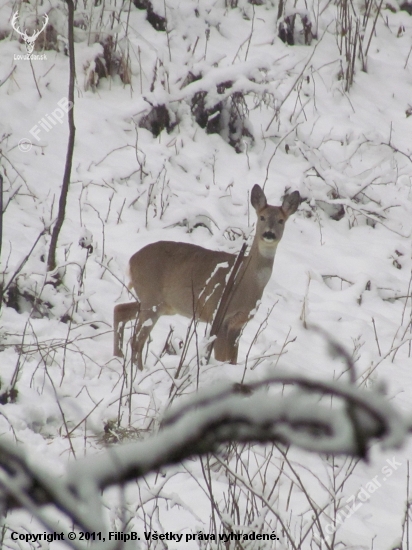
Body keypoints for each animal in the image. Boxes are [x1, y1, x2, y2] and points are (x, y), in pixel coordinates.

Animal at [112, 185, 300, 370]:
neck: (245, 280)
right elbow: (221, 359)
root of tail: (132, 261)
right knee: (136, 341)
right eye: (262, 217)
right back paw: (137, 370)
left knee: (120, 310)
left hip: (160, 303)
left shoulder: (239, 323)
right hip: (151, 298)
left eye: (281, 220)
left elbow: (232, 361)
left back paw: (118, 357)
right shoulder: (220, 315)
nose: (269, 234)